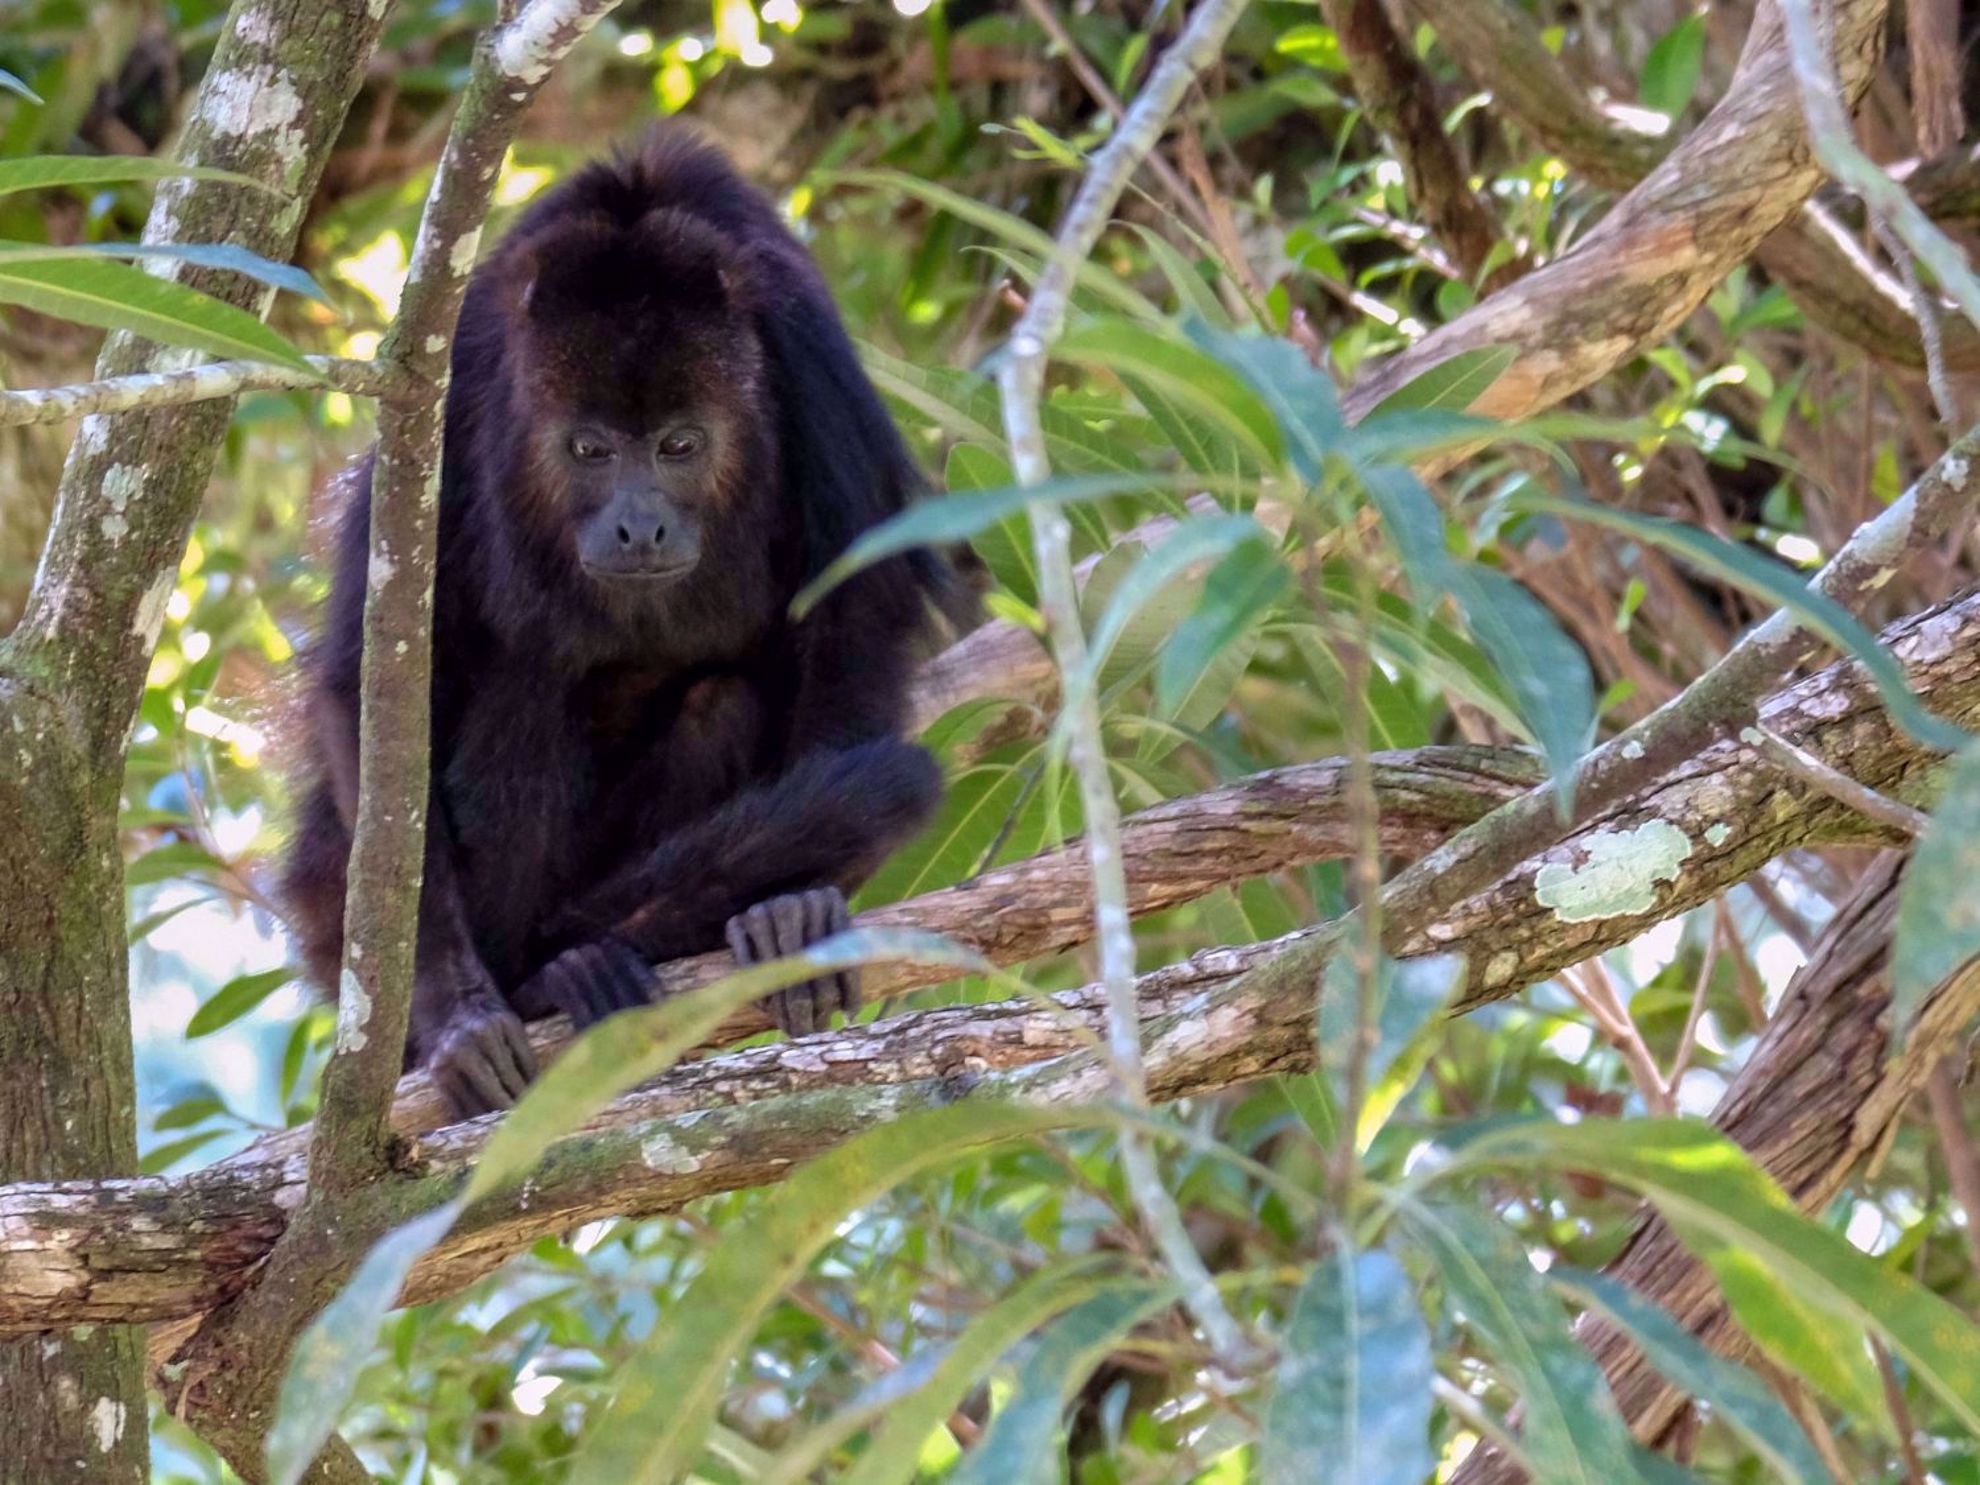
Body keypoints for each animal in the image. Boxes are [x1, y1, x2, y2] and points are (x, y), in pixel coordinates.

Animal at [281, 127, 958, 1124]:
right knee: (524, 687)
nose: (641, 525)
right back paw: (546, 975)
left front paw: (797, 901)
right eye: (589, 449)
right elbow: (373, 683)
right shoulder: (458, 382)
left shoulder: (807, 348)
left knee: (721, 703)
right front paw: (455, 1015)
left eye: (679, 445)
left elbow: (855, 606)